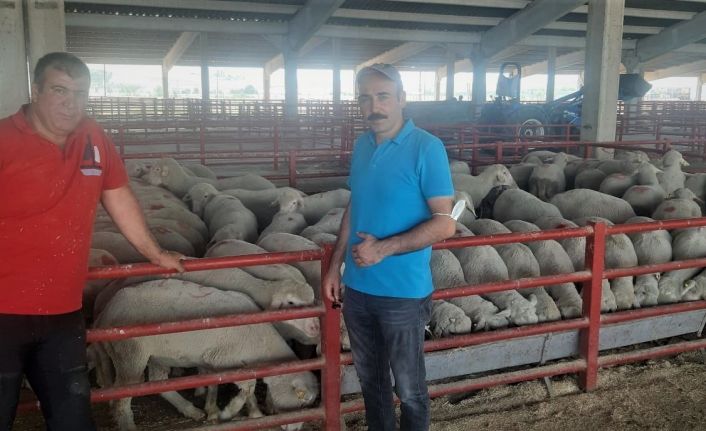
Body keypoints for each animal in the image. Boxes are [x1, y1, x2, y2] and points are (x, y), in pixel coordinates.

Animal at [95, 280, 318, 431]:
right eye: (302, 402)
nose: (293, 428)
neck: (261, 341)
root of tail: (105, 313)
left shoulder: (212, 361)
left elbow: (214, 385)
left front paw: (217, 410)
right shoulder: (226, 359)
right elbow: (248, 387)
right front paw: (228, 412)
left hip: (156, 355)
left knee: (159, 383)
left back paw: (191, 410)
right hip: (130, 354)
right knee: (122, 397)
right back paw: (127, 424)